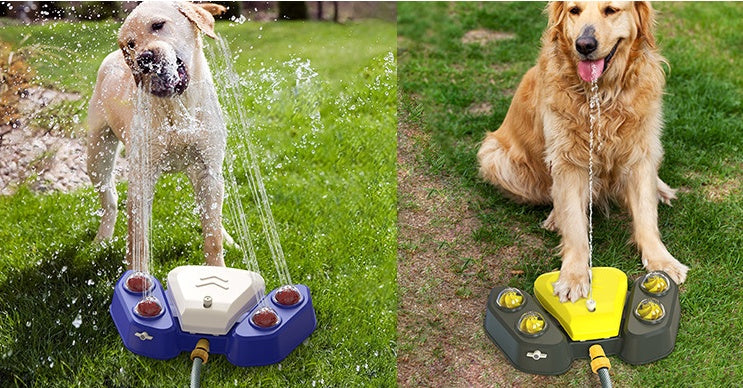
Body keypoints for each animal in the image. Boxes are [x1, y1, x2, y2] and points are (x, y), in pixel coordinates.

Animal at [85, 1, 230, 272]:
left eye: (158, 25)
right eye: (131, 44)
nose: (143, 59)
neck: (177, 108)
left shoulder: (208, 169)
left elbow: (212, 235)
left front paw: (218, 270)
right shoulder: (141, 175)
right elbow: (137, 237)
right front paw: (138, 276)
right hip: (97, 156)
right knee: (110, 200)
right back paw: (101, 239)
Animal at [480, 1, 688, 302]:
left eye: (611, 10)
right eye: (574, 10)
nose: (585, 45)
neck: (602, 94)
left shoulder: (640, 152)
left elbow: (646, 214)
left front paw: (662, 260)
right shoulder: (567, 160)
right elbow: (575, 224)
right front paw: (573, 276)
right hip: (493, 156)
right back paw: (555, 217)